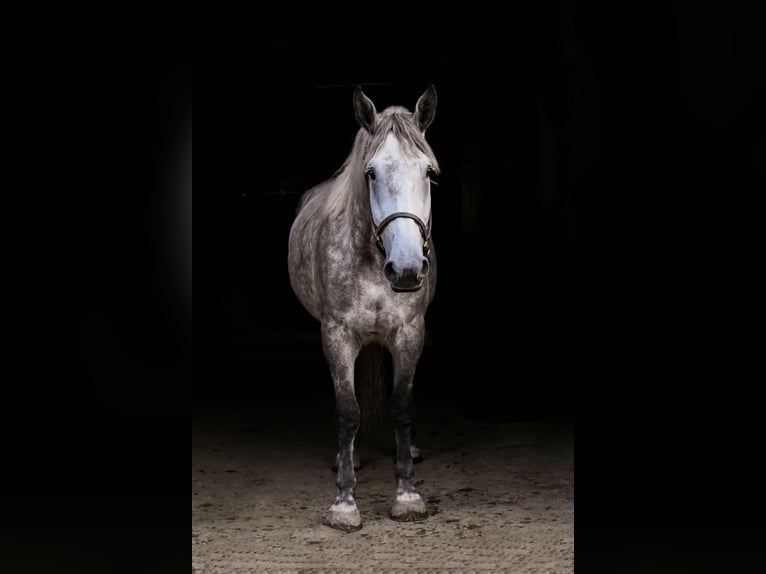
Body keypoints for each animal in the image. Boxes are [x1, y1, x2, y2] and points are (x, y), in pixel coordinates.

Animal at [288, 85, 440, 536]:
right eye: (371, 173)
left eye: (429, 172)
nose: (406, 269)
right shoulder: (337, 336)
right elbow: (348, 411)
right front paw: (344, 502)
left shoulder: (409, 334)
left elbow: (402, 406)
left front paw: (407, 495)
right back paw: (348, 457)